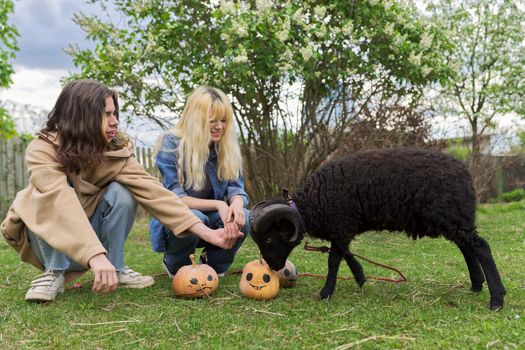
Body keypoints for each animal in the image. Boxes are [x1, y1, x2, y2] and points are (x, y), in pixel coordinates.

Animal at [250, 147, 504, 308]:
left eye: (269, 240)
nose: (274, 267)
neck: (311, 205)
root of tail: (466, 173)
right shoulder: (344, 227)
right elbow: (345, 253)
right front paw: (361, 277)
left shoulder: (341, 224)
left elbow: (333, 260)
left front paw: (325, 293)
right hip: (455, 220)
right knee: (467, 248)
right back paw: (476, 285)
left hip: (451, 217)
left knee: (481, 247)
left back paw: (497, 299)